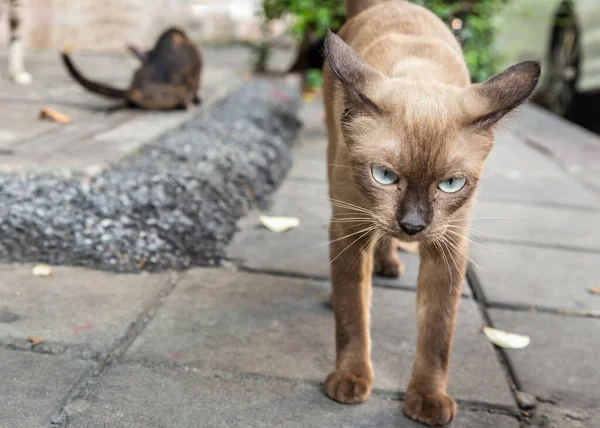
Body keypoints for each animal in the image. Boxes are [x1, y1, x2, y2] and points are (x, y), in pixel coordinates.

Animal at [61, 27, 203, 109]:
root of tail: (136, 89)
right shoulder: (196, 73)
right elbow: (196, 88)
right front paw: (197, 99)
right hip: (179, 91)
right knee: (183, 100)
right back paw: (187, 105)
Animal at [324, 0, 540, 424]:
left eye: (451, 184)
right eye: (384, 176)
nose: (412, 225)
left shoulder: (447, 247)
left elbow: (437, 335)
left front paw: (427, 399)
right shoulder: (349, 233)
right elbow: (353, 316)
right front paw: (351, 380)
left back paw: (389, 263)